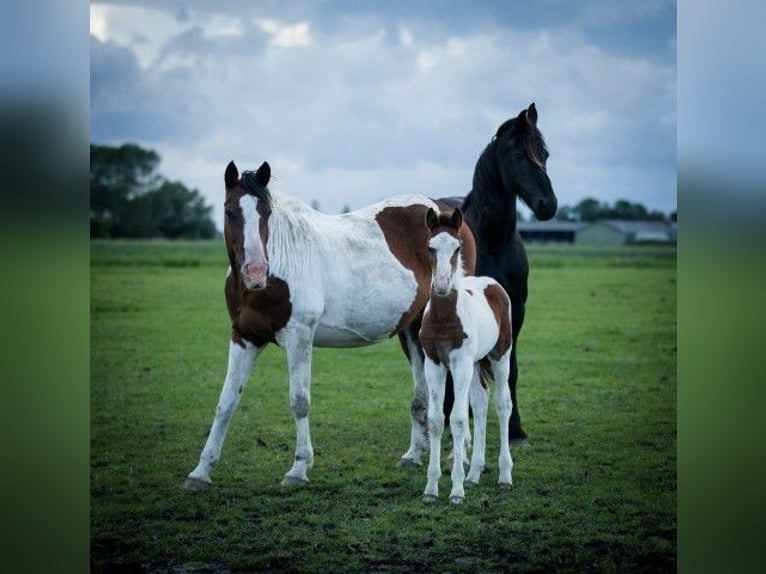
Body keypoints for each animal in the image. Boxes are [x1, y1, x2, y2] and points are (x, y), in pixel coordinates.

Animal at [184, 161, 474, 490]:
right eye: (230, 211)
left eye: (267, 212)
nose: (256, 272)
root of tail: (446, 211)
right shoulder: (244, 338)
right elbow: (227, 402)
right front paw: (200, 471)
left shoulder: (299, 338)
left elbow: (299, 402)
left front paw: (298, 468)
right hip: (414, 333)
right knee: (422, 394)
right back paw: (413, 455)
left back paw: (459, 458)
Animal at [416, 209, 512, 506]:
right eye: (430, 247)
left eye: (457, 247)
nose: (442, 285)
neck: (445, 318)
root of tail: (491, 284)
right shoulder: (434, 364)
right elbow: (437, 420)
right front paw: (431, 489)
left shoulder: (459, 364)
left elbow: (458, 420)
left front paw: (456, 492)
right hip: (475, 364)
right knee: (481, 401)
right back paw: (474, 474)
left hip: (499, 356)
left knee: (503, 404)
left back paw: (505, 476)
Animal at [438, 103, 560, 446]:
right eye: (518, 156)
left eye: (545, 154)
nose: (548, 205)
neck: (492, 240)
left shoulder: (515, 310)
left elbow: (512, 368)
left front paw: (516, 429)